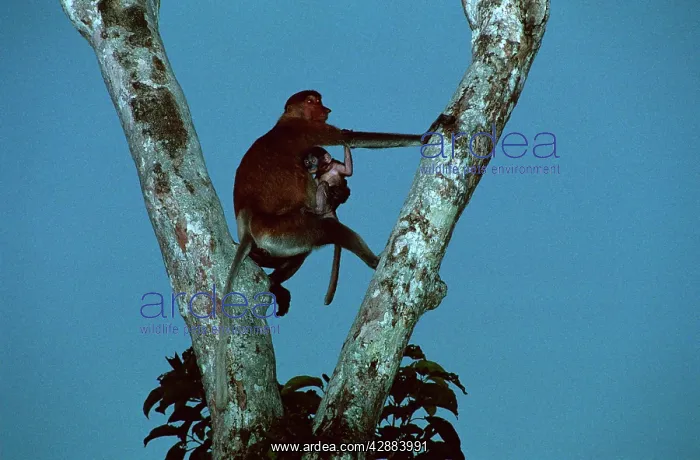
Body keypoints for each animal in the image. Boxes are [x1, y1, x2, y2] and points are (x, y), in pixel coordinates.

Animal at [215, 90, 422, 408]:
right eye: (313, 101)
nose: (327, 108)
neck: (286, 120)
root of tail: (250, 228)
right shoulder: (309, 130)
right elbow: (350, 136)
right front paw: (432, 132)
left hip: (279, 238)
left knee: (300, 252)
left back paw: (273, 282)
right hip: (283, 229)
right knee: (329, 231)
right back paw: (374, 261)